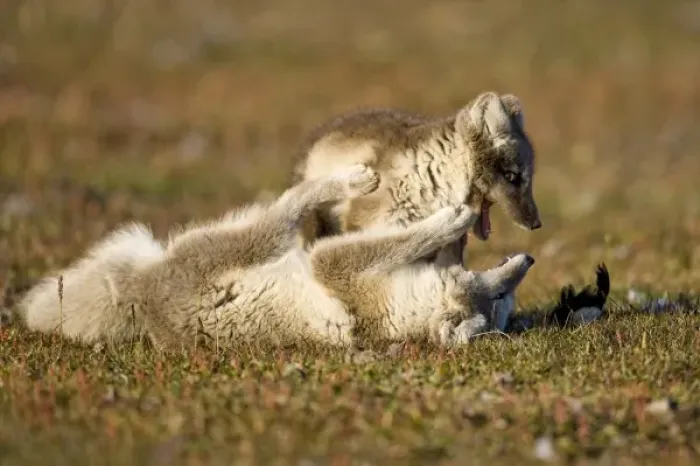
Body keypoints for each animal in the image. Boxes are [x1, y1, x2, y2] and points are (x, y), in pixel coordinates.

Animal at [16, 165, 535, 350]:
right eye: (502, 297)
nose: (528, 261)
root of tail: (137, 300)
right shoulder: (338, 261)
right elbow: (411, 239)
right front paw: (453, 224)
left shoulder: (330, 263)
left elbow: (401, 241)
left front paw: (450, 222)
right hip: (266, 239)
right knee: (295, 197)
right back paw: (354, 178)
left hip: (260, 238)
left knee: (290, 201)